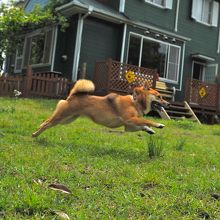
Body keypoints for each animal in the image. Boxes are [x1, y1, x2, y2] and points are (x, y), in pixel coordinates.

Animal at [31, 79, 169, 138]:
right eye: (159, 96)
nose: (168, 104)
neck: (135, 102)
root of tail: (73, 95)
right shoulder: (130, 119)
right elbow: (147, 121)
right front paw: (158, 124)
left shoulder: (129, 126)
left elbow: (143, 125)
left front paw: (149, 130)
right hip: (62, 116)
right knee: (47, 123)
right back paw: (35, 134)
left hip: (67, 119)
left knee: (46, 122)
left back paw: (37, 131)